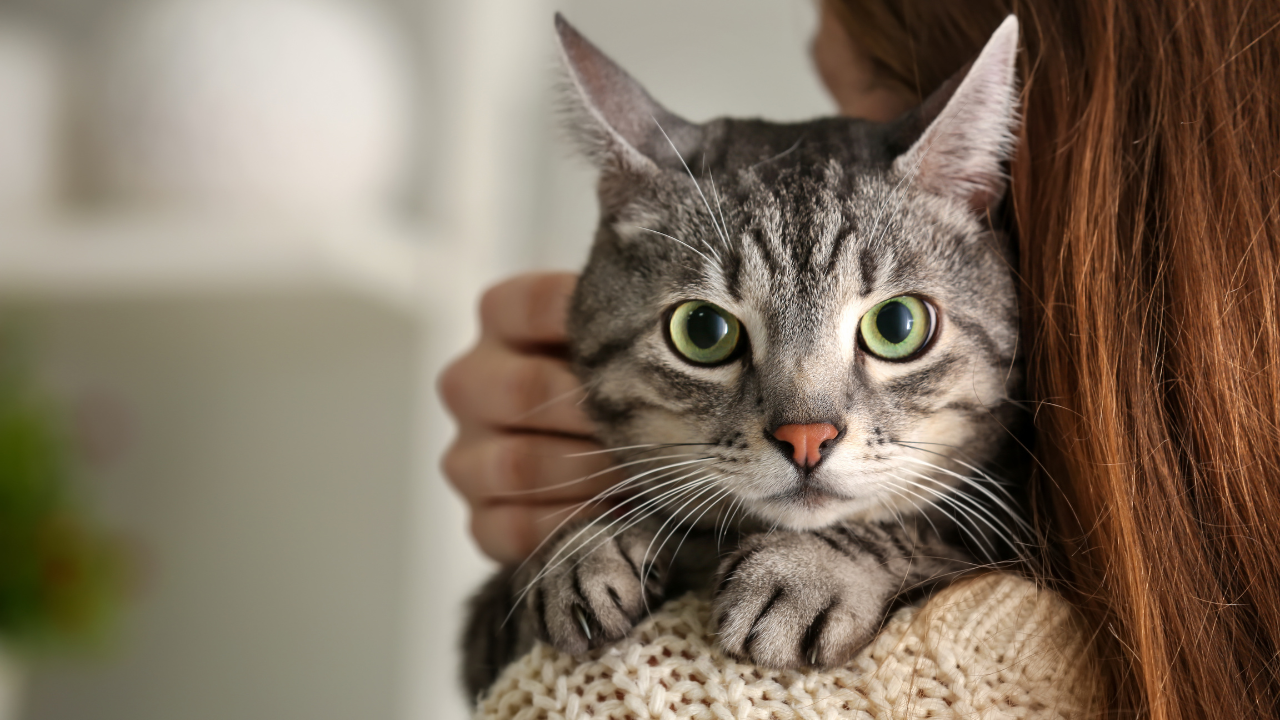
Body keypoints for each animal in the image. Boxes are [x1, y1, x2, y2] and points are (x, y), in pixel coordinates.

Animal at [465, 12, 1024, 696]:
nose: (806, 437)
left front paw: (805, 572)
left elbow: (927, 531)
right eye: (703, 330)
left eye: (897, 325)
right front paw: (581, 548)